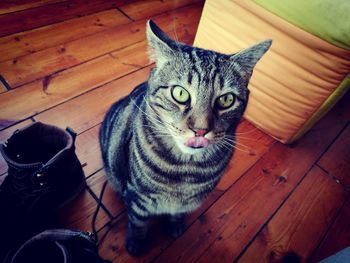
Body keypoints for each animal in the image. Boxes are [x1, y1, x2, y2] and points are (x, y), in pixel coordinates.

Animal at [100, 19, 272, 256]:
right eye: (180, 93)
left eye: (226, 100)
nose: (200, 129)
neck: (186, 171)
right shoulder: (139, 198)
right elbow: (138, 223)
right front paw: (136, 244)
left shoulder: (187, 203)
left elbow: (177, 215)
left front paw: (175, 226)